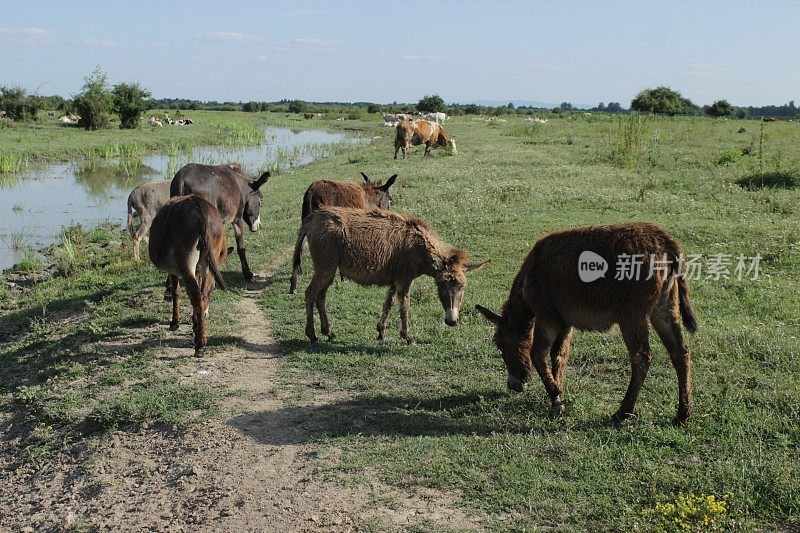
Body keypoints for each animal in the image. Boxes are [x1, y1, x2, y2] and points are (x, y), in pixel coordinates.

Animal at [148, 193, 233, 356]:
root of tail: (200, 211)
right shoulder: (199, 270)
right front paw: (195, 322)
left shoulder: (174, 270)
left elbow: (176, 292)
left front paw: (175, 322)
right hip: (208, 262)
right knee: (203, 295)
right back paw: (201, 335)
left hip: (186, 260)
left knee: (197, 297)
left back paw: (199, 345)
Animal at [300, 206, 488, 342]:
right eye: (441, 287)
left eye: (462, 287)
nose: (451, 321)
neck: (418, 247)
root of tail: (314, 219)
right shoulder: (405, 280)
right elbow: (404, 306)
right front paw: (407, 336)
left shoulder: (394, 280)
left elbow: (388, 303)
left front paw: (381, 332)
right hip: (325, 268)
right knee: (310, 293)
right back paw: (312, 334)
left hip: (329, 270)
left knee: (320, 296)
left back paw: (328, 332)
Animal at [478, 220, 696, 424]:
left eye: (500, 345)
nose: (513, 385)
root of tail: (665, 241)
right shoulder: (565, 321)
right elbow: (560, 356)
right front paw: (557, 400)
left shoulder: (547, 315)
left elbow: (537, 354)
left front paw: (555, 394)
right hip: (664, 309)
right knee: (681, 353)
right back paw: (682, 414)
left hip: (632, 314)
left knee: (641, 357)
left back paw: (623, 412)